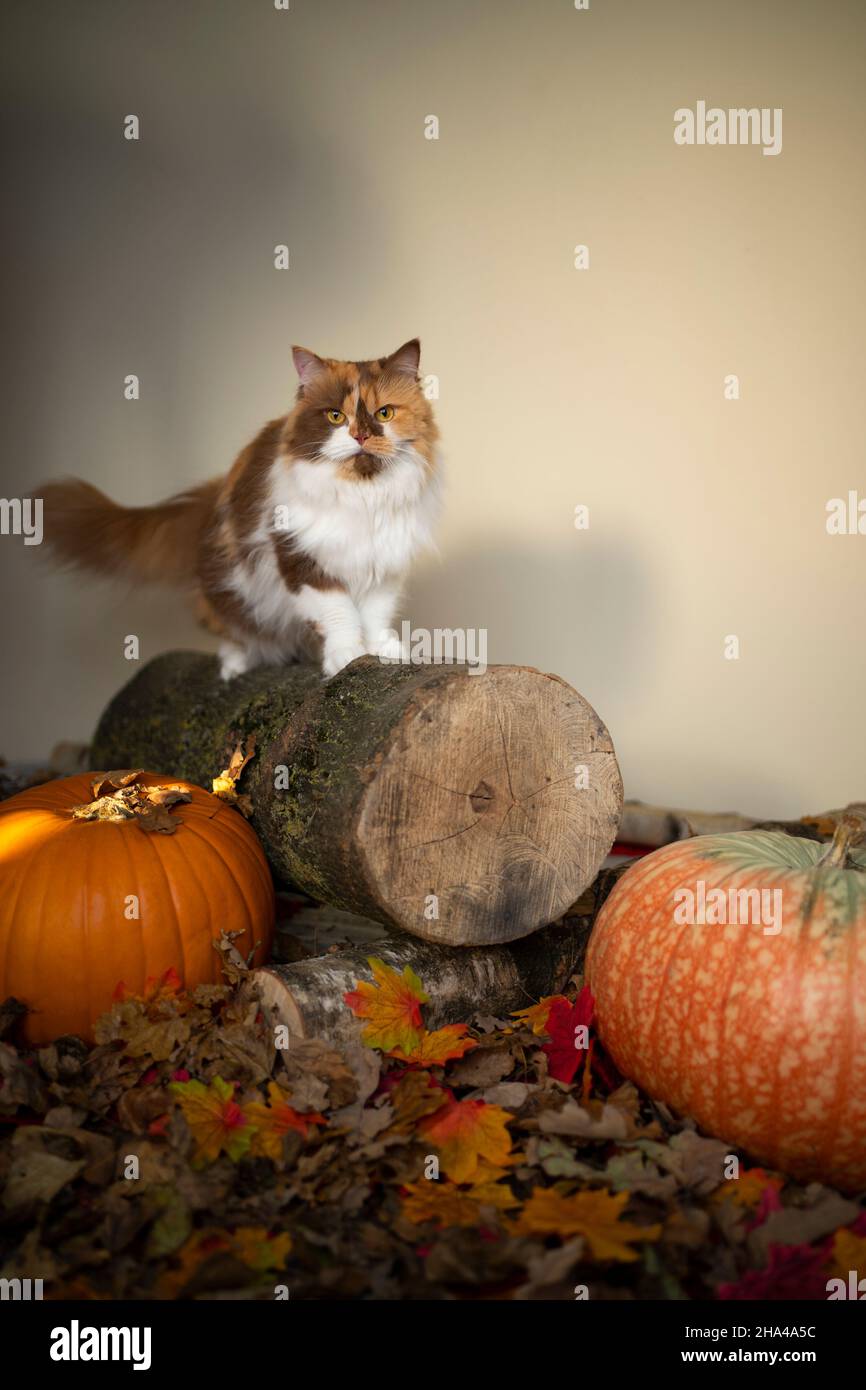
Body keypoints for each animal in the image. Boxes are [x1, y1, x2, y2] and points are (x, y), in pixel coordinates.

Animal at [40, 341, 439, 678]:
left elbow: (374, 613)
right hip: (230, 590)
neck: (362, 494)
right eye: (336, 417)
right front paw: (345, 655)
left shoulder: (384, 562)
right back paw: (235, 664)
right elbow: (339, 613)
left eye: (384, 413)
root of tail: (214, 496)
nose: (360, 436)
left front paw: (382, 651)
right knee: (231, 628)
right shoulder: (299, 560)